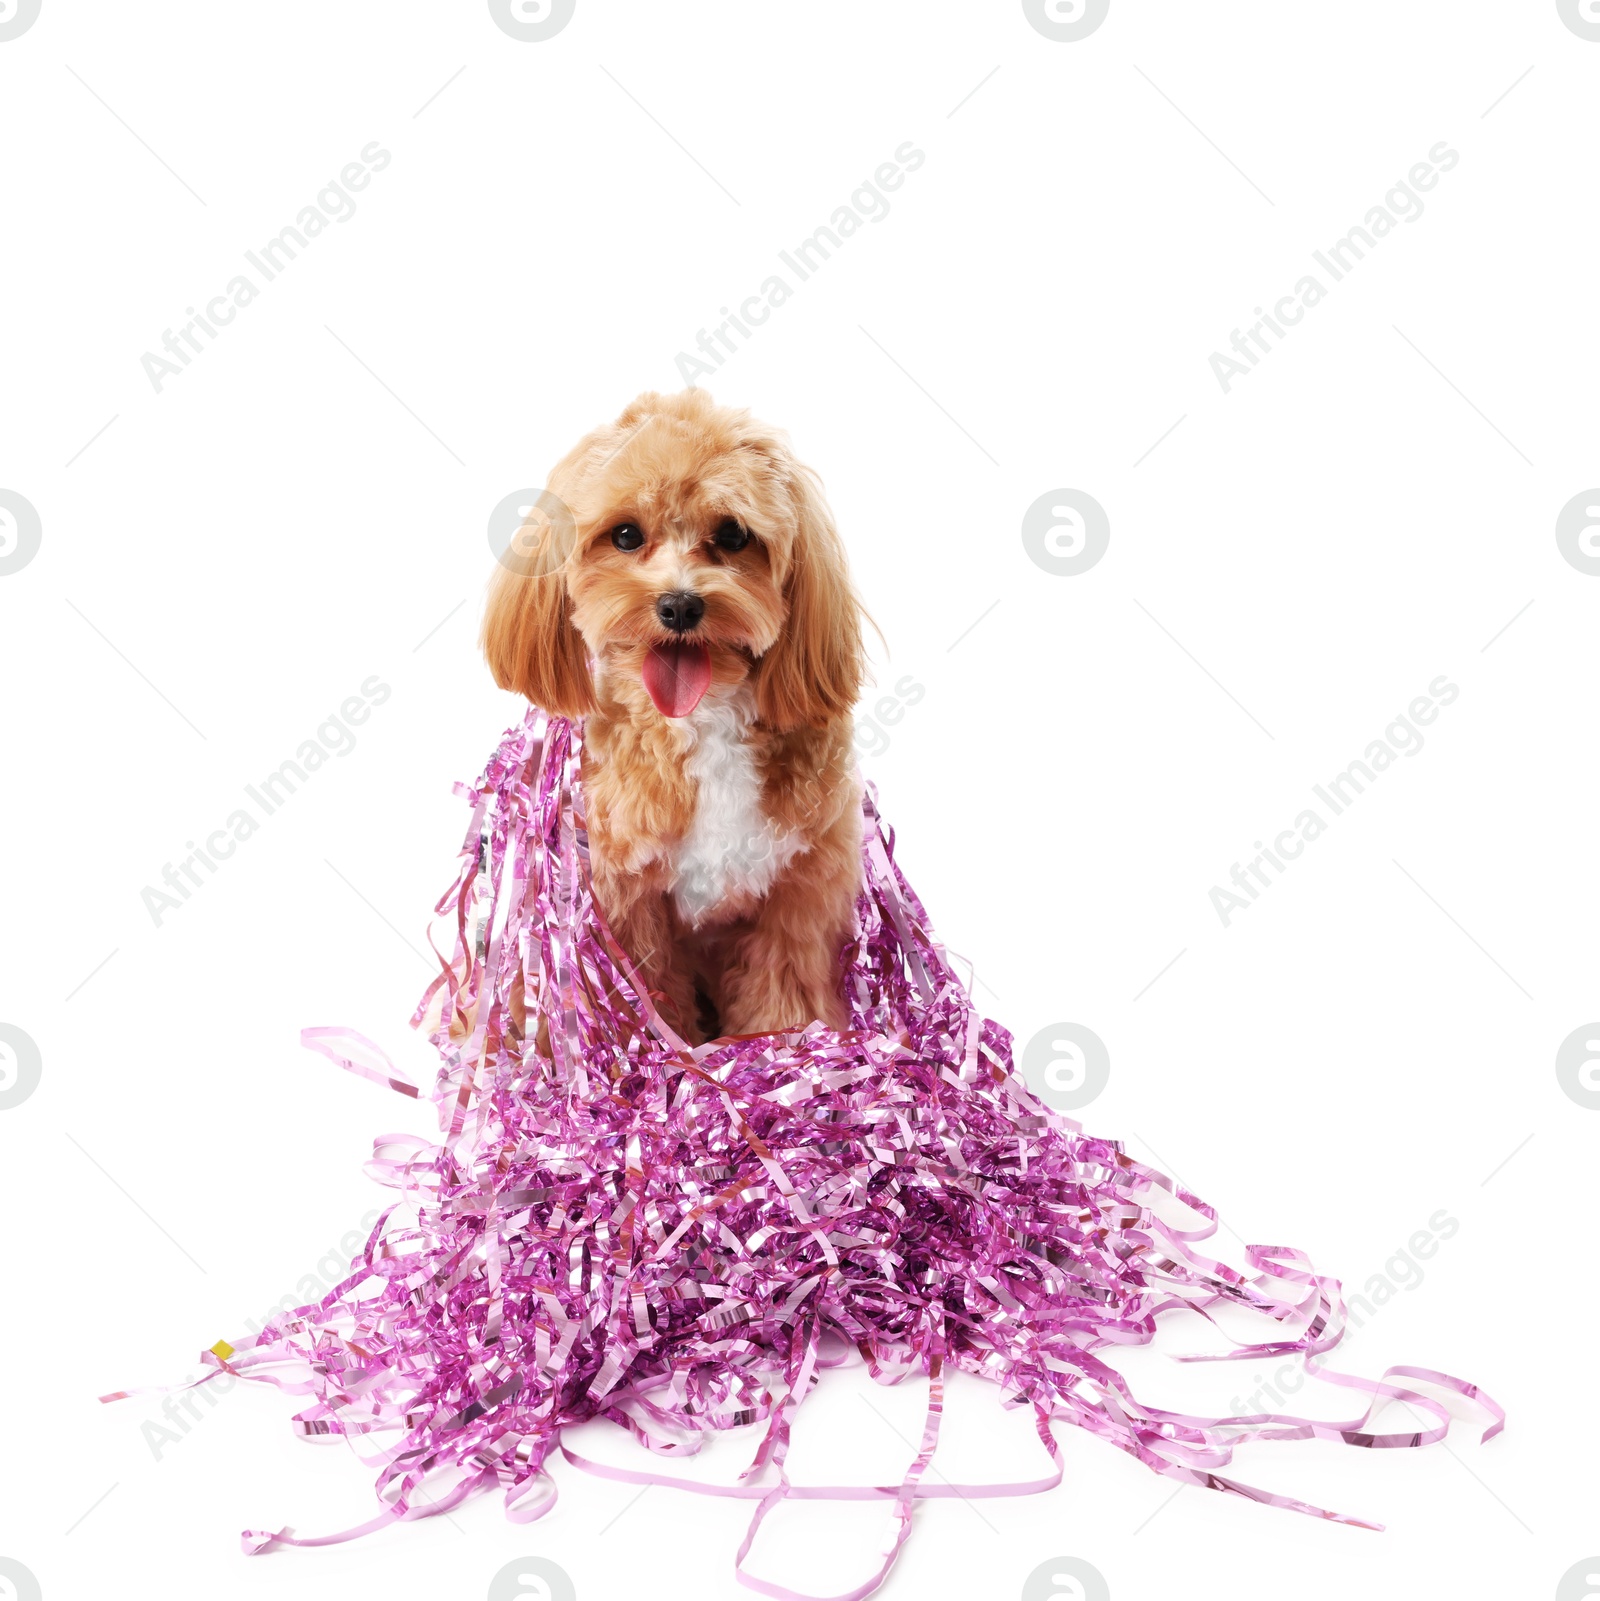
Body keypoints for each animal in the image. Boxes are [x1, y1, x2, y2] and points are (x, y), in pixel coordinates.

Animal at [480, 385, 871, 1037]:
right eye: (626, 535)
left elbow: (785, 981)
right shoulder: (624, 895)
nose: (681, 605)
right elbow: (651, 993)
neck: (702, 720)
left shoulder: (800, 884)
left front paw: (783, 1045)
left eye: (734, 535)